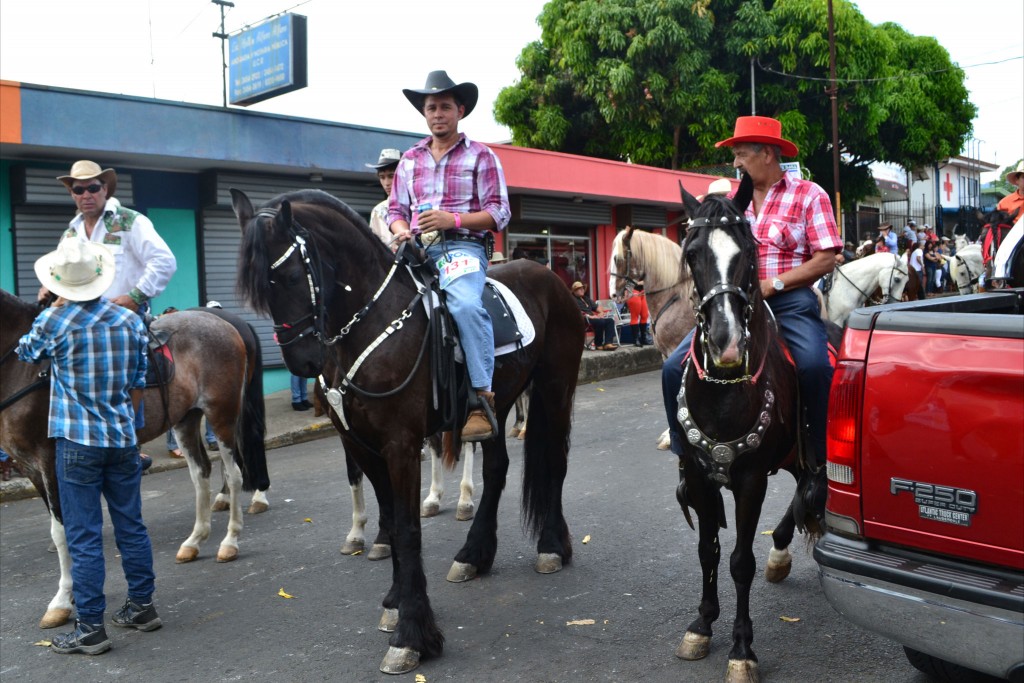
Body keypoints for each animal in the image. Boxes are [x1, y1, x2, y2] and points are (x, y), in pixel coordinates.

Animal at [0, 288, 268, 630]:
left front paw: (62, 599)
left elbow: (62, 532)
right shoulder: (31, 467)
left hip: (223, 415)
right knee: (201, 474)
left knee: (234, 474)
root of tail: (225, 323)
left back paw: (230, 541)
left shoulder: (50, 460)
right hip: (186, 418)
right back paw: (195, 540)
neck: (21, 369)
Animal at [233, 189, 585, 675]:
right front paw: (396, 603)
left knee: (554, 462)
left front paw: (413, 636)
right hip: (498, 401)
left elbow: (407, 528)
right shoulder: (361, 445)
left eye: (287, 275)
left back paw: (551, 546)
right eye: (256, 291)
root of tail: (550, 277)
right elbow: (390, 520)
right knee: (497, 469)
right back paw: (473, 554)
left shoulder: (401, 444)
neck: (366, 324)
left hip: (554, 388)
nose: (302, 361)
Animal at [667, 178, 819, 683]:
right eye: (692, 252)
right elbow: (707, 551)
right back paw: (781, 550)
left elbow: (739, 561)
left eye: (749, 252)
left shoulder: (750, 480)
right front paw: (701, 624)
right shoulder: (698, 476)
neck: (724, 391)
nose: (726, 342)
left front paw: (741, 648)